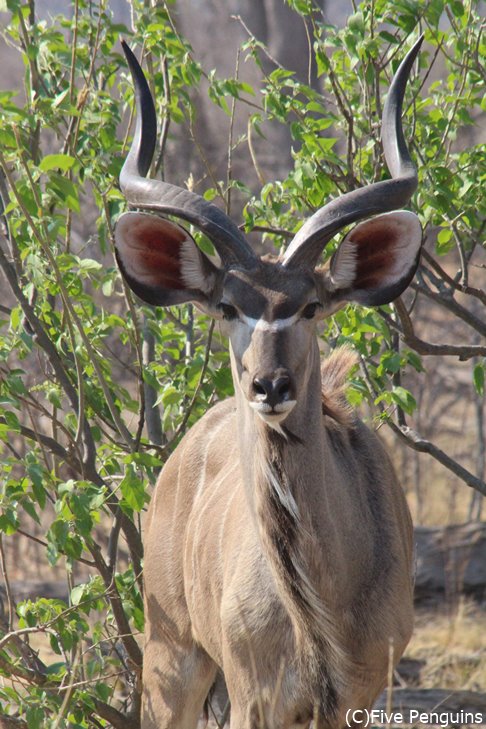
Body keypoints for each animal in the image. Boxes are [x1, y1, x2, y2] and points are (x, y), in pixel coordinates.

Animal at [114, 38, 422, 728]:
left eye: (309, 307)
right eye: (228, 307)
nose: (270, 386)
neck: (318, 609)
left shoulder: (358, 695)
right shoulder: (257, 696)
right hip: (172, 658)